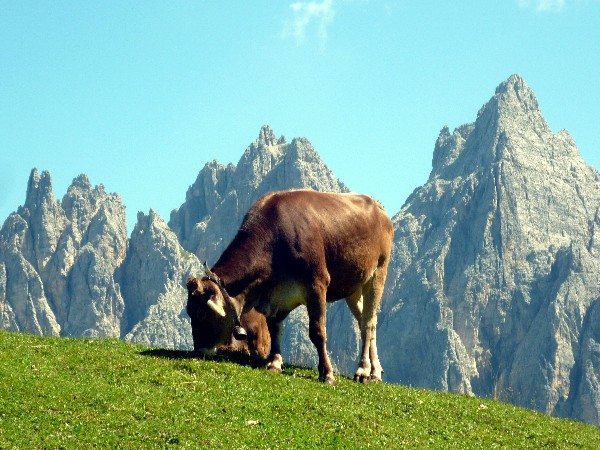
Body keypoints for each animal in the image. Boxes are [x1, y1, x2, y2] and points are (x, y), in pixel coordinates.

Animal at [186, 189, 394, 384]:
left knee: (367, 323)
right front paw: (274, 363)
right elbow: (274, 328)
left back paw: (363, 370)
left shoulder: (317, 283)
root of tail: (378, 207)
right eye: (189, 312)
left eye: (201, 313)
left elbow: (318, 332)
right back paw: (375, 372)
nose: (198, 351)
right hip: (353, 286)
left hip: (378, 272)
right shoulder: (275, 295)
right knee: (367, 322)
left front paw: (327, 373)